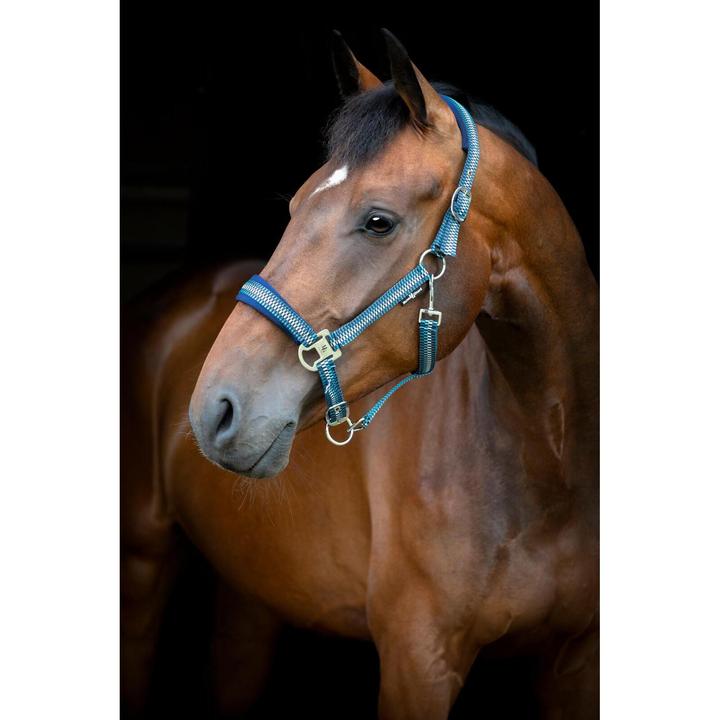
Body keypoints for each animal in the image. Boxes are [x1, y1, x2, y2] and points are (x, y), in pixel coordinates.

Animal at [121, 30, 598, 719]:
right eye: (295, 205)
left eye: (378, 220)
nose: (214, 409)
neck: (552, 465)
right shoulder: (415, 662)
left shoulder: (577, 665)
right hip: (141, 567)